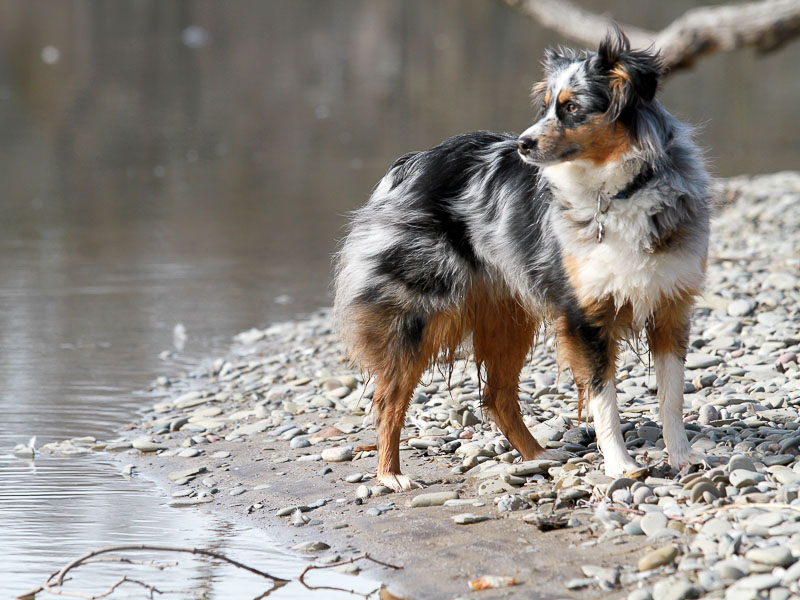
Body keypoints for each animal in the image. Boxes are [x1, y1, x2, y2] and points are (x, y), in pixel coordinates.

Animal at [334, 29, 708, 492]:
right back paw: (391, 474)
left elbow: (671, 396)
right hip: (418, 313)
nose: (522, 144)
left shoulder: (671, 305)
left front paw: (683, 458)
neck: (619, 191)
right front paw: (620, 465)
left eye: (571, 107)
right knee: (390, 397)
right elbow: (604, 399)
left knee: (496, 396)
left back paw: (538, 456)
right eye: (545, 105)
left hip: (507, 316)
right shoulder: (585, 316)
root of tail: (410, 163)